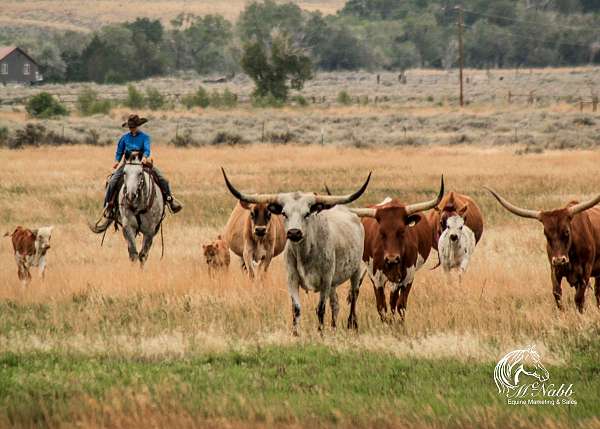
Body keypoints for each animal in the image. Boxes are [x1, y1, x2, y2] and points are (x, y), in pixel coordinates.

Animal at [221, 167, 370, 334]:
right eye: (284, 213)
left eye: (307, 213)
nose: (294, 232)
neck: (305, 253)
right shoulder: (292, 279)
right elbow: (296, 308)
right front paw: (296, 333)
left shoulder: (325, 280)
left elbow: (320, 309)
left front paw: (320, 333)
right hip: (334, 282)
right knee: (335, 304)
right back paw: (333, 328)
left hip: (356, 272)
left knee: (354, 297)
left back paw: (352, 324)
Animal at [352, 176, 446, 320]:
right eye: (381, 233)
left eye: (402, 231)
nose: (392, 259)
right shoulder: (376, 277)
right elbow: (381, 306)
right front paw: (387, 322)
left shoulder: (408, 276)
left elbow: (400, 305)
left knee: (394, 300)